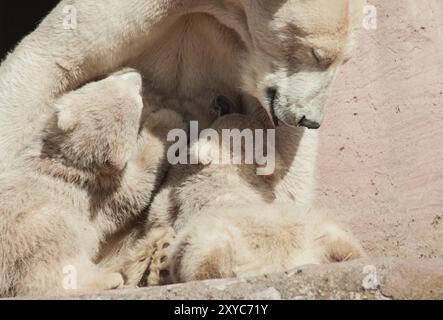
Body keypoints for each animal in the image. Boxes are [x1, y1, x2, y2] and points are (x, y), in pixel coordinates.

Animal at [0, 70, 182, 298]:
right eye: (137, 98)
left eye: (107, 80)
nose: (136, 74)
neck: (68, 159)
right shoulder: (102, 194)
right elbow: (138, 183)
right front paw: (168, 118)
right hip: (30, 233)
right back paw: (110, 278)